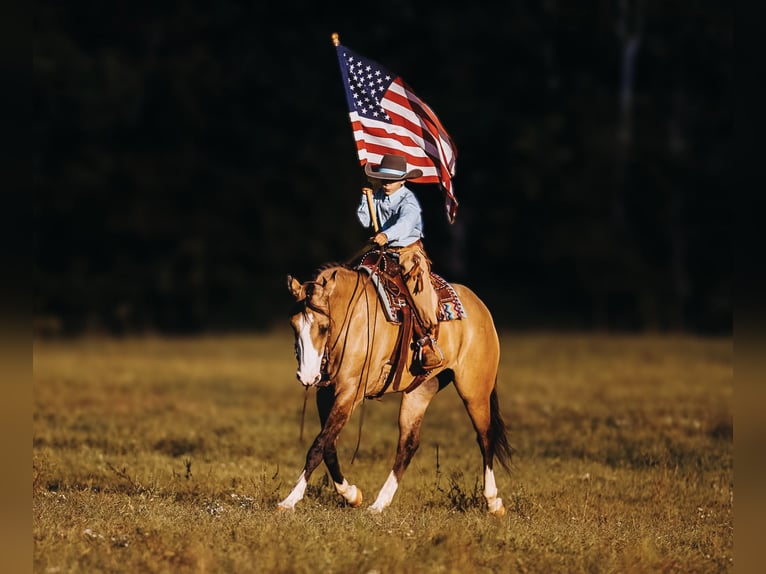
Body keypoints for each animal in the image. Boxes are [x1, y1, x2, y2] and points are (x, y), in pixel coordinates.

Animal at [278, 260, 513, 515]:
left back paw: (493, 501)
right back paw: (379, 504)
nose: (306, 376)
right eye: (293, 325)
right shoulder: (326, 394)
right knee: (408, 444)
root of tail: (480, 308)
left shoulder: (350, 393)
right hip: (420, 391)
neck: (352, 320)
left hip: (475, 392)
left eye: (322, 327)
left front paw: (289, 500)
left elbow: (318, 446)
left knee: (485, 436)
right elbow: (328, 445)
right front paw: (352, 495)